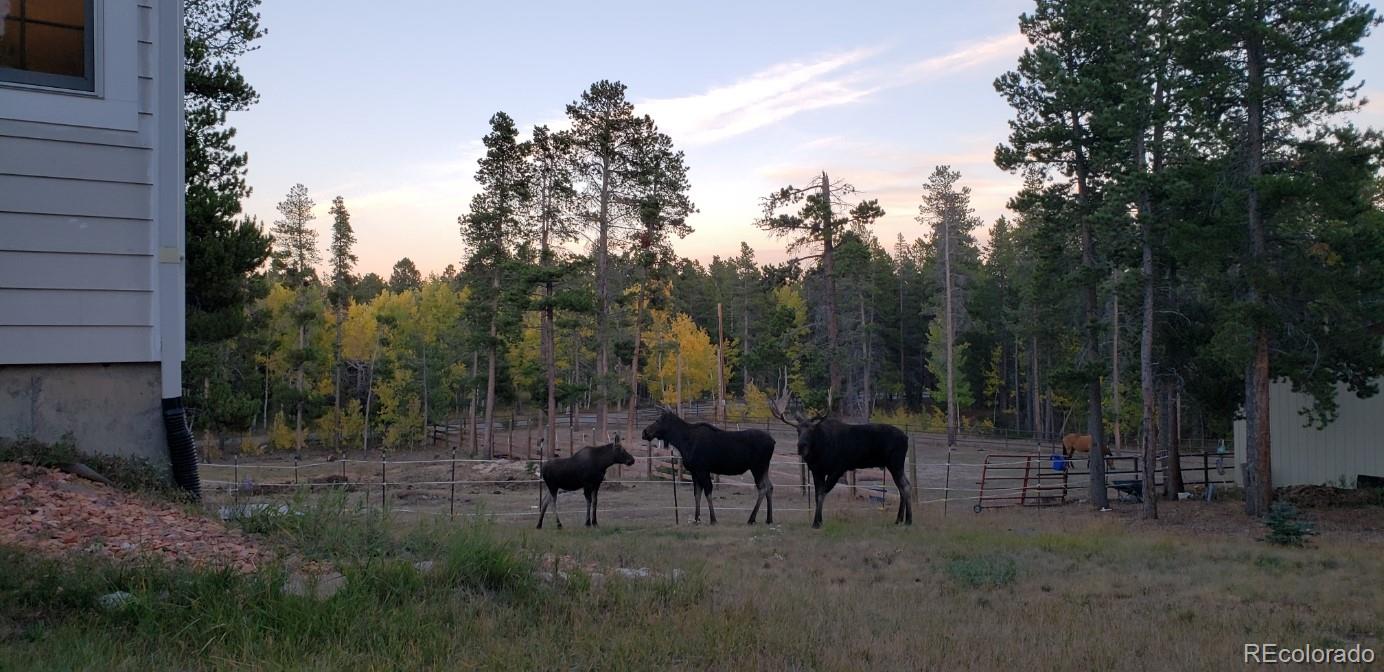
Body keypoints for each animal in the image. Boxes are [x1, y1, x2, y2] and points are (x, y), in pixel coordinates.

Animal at [639, 409, 780, 525]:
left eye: (658, 420)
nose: (644, 432)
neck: (682, 442)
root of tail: (773, 441)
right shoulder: (694, 472)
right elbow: (697, 494)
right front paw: (696, 519)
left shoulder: (702, 470)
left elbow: (708, 492)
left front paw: (713, 519)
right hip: (764, 467)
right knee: (770, 486)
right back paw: (769, 519)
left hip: (757, 467)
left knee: (762, 488)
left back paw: (752, 519)